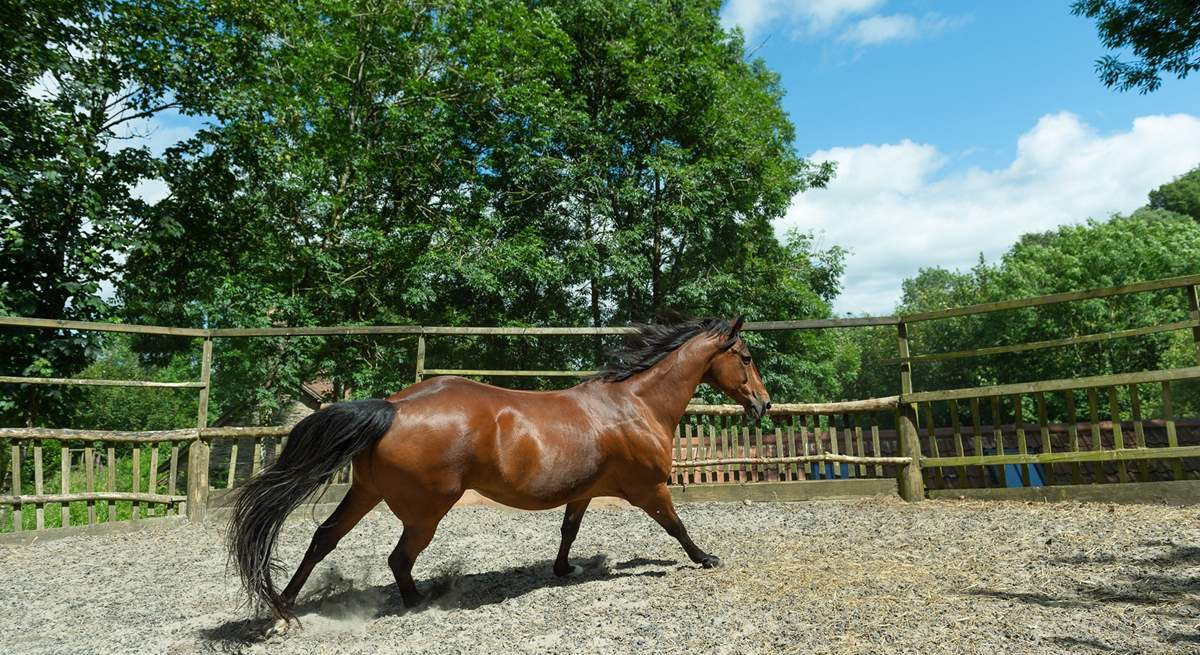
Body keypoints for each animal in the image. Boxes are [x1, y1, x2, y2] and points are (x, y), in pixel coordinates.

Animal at [229, 316, 772, 623]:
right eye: (746, 357)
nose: (764, 404)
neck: (635, 405)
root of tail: (391, 407)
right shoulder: (648, 487)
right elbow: (677, 526)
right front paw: (705, 558)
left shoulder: (584, 490)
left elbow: (568, 530)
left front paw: (563, 570)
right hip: (425, 510)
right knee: (398, 558)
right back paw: (420, 601)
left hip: (365, 491)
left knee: (324, 537)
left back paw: (281, 607)